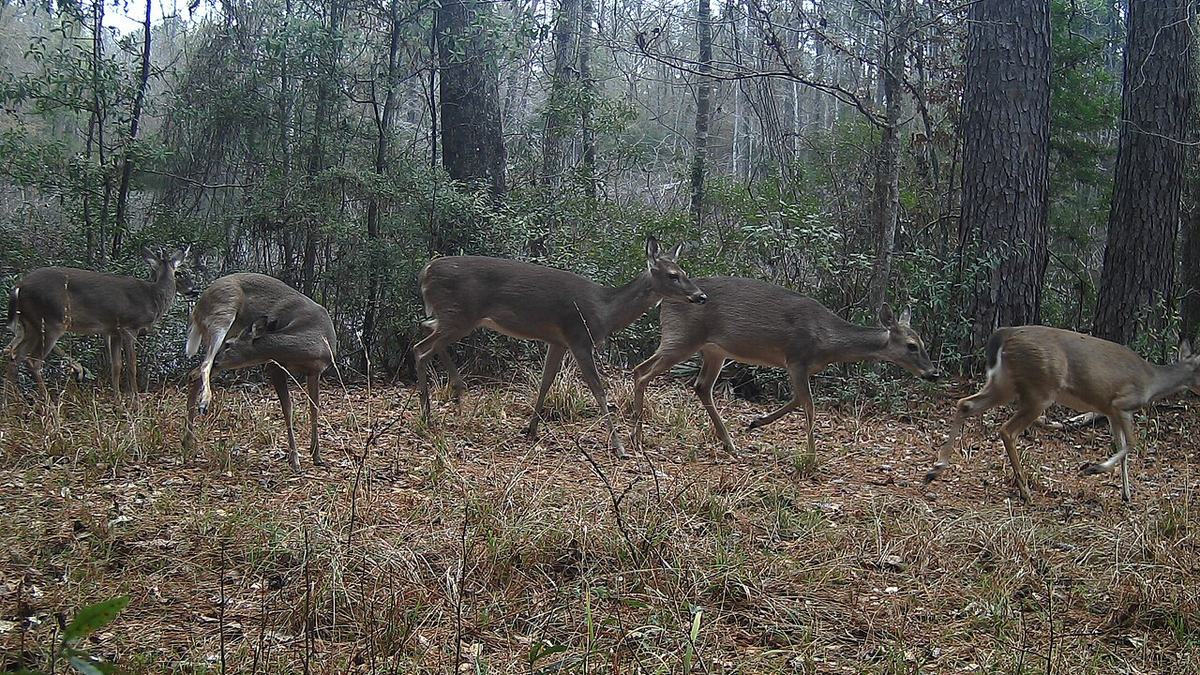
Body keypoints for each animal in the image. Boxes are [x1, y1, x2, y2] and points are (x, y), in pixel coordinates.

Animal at [4, 247, 190, 404]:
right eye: (179, 272)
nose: (192, 289)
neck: (153, 298)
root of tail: (18, 287)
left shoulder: (114, 330)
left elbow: (116, 365)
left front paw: (118, 401)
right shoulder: (129, 326)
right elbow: (131, 365)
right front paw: (135, 402)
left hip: (31, 325)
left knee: (15, 356)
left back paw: (12, 404)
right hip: (51, 321)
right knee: (33, 361)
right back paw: (49, 405)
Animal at [183, 273, 337, 471]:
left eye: (229, 345)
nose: (219, 359)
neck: (315, 340)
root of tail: (200, 301)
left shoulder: (315, 371)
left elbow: (315, 408)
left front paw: (316, 455)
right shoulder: (274, 366)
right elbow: (288, 409)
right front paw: (295, 459)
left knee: (195, 374)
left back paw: (187, 442)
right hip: (221, 316)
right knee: (203, 367)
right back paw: (204, 404)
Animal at [415, 236, 707, 457]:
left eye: (685, 272)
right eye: (673, 275)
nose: (701, 296)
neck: (606, 311)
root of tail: (426, 271)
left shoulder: (558, 342)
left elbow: (546, 381)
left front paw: (531, 429)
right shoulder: (579, 338)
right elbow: (598, 390)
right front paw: (620, 447)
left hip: (452, 316)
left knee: (425, 329)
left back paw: (455, 392)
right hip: (459, 314)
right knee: (420, 348)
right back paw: (427, 415)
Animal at [629, 277, 940, 458]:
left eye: (924, 342)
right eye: (912, 345)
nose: (933, 373)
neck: (827, 339)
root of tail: (665, 300)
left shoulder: (804, 367)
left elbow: (796, 400)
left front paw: (755, 422)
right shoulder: (796, 358)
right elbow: (809, 405)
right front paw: (812, 457)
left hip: (713, 350)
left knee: (700, 386)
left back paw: (730, 444)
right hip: (682, 338)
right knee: (641, 371)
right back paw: (637, 436)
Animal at [924, 326, 1200, 503]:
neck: (1152, 381)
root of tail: (1005, 334)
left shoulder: (1110, 411)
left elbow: (1122, 446)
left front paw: (1127, 494)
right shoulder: (1122, 404)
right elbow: (1131, 444)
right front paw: (1094, 468)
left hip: (1004, 383)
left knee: (965, 404)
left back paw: (935, 469)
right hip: (1040, 390)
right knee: (1007, 430)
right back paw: (1025, 491)